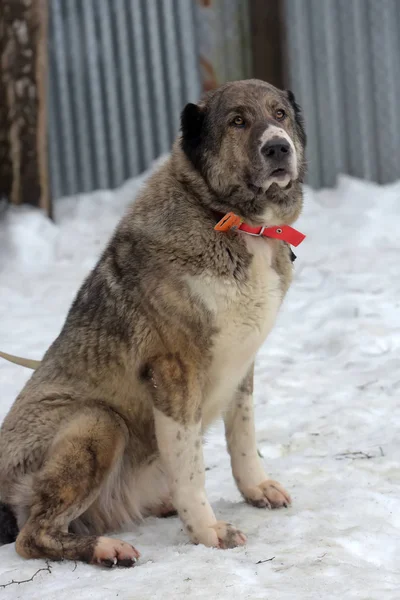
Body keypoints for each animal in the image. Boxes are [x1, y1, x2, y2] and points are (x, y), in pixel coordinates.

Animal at [0, 79, 306, 568]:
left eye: (279, 114)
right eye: (237, 121)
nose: (278, 146)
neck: (232, 222)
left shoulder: (242, 364)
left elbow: (241, 436)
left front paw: (255, 488)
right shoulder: (173, 372)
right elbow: (190, 466)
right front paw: (207, 531)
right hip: (99, 421)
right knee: (32, 536)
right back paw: (107, 547)